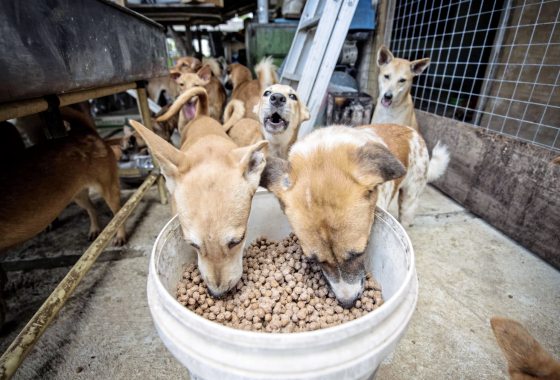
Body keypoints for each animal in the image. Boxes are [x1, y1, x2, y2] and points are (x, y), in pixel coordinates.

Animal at [260, 124, 448, 306]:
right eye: (315, 260)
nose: (347, 303)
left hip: (410, 198)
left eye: (358, 254)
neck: (325, 147)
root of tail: (409, 129)